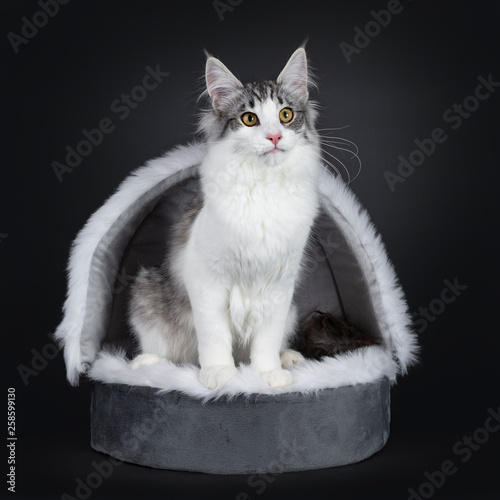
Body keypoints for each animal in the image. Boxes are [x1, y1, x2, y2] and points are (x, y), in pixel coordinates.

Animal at [129, 47, 322, 390]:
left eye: (286, 115)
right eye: (249, 119)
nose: (274, 137)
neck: (264, 186)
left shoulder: (280, 286)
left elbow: (266, 341)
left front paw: (268, 374)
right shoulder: (207, 282)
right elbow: (214, 335)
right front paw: (219, 373)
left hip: (291, 311)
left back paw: (289, 358)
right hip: (145, 290)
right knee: (169, 355)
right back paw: (144, 364)